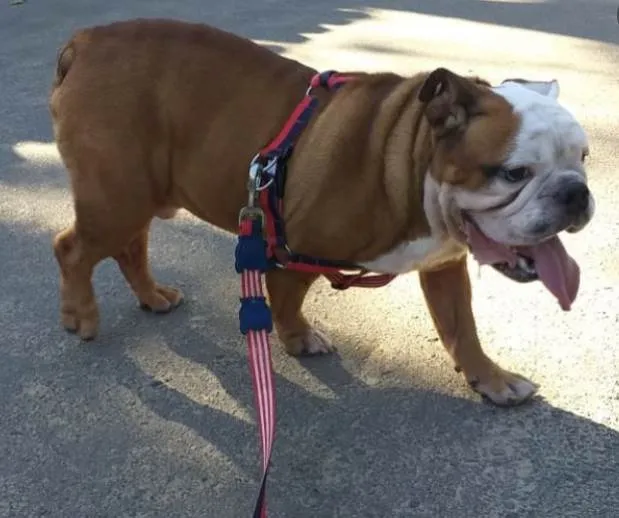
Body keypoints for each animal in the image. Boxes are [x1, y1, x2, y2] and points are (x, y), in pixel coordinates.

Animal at [49, 19, 596, 406]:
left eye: (583, 158)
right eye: (513, 173)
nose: (575, 193)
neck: (411, 157)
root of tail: (87, 40)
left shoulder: (444, 266)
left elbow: (462, 329)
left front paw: (491, 380)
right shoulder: (294, 252)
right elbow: (288, 302)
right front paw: (299, 339)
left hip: (135, 195)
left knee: (130, 246)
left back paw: (153, 296)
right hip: (115, 197)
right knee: (72, 249)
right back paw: (82, 316)